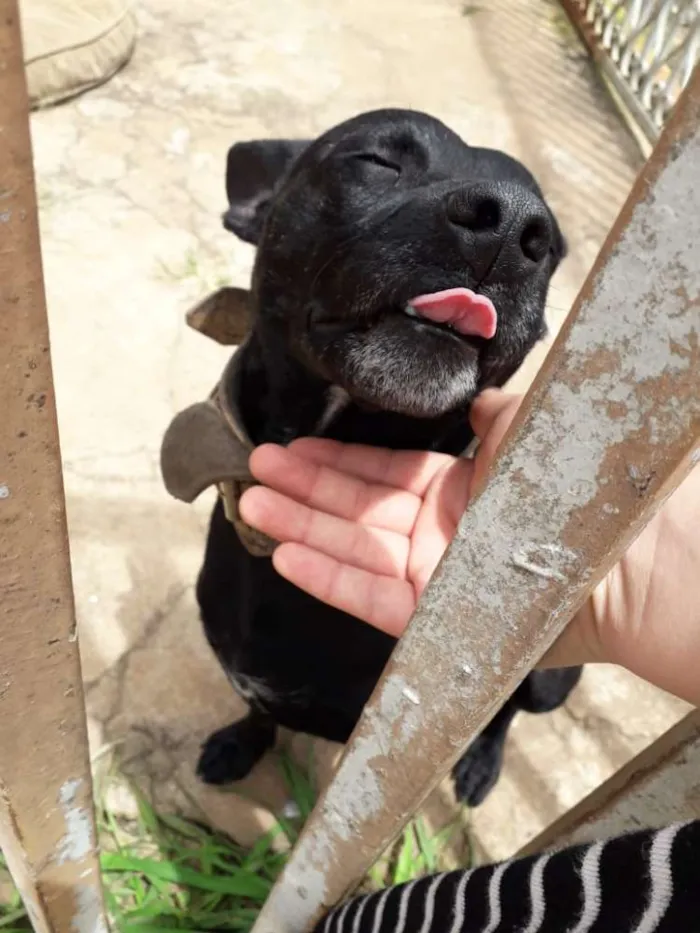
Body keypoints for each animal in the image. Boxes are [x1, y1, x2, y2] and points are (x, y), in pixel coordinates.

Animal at [194, 111, 584, 808]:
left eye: (553, 248)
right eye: (376, 160)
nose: (514, 226)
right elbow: (257, 710)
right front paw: (241, 744)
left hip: (547, 681)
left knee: (509, 711)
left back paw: (481, 762)